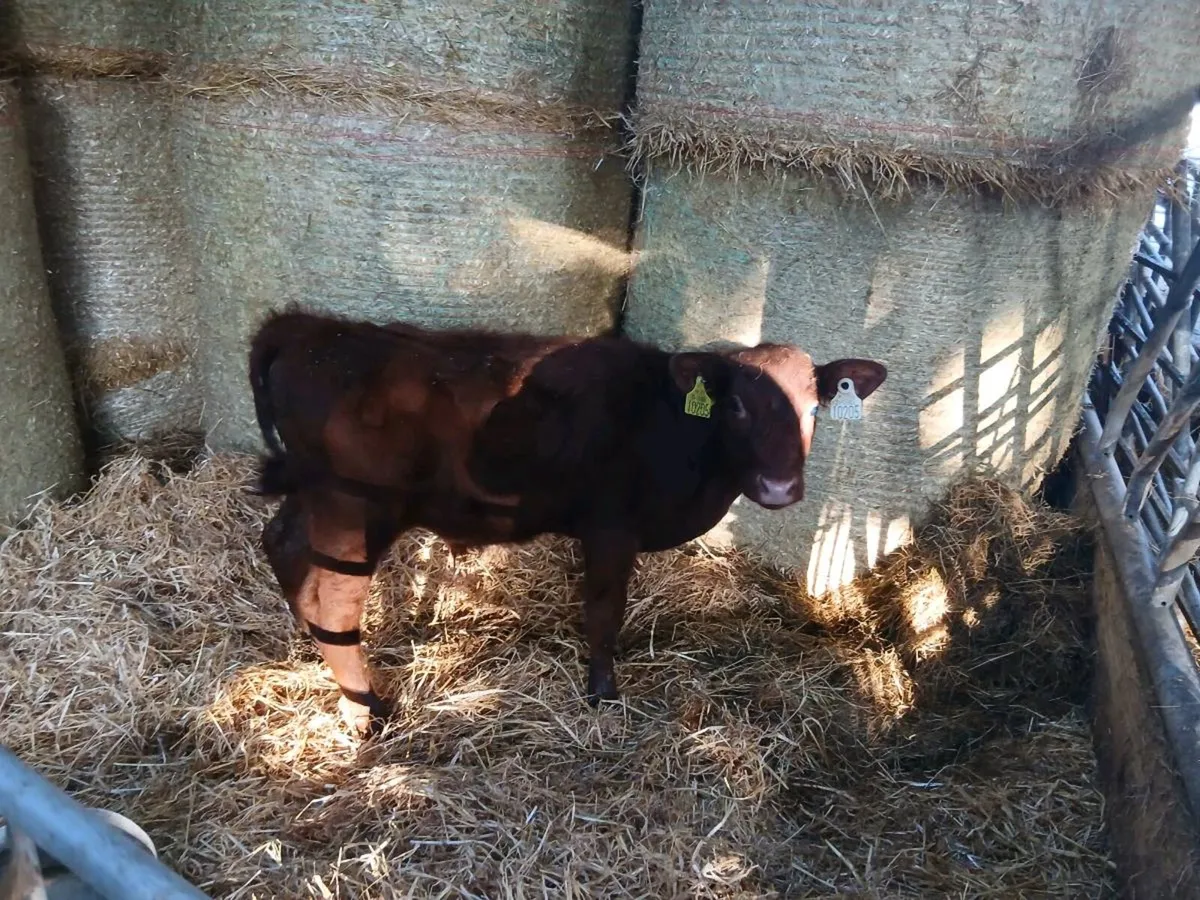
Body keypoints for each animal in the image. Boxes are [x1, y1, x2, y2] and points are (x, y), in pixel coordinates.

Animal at [248, 306, 887, 737]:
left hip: (316, 497)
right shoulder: (610, 528)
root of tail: (310, 329)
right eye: (735, 405)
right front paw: (603, 693)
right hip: (353, 511)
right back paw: (366, 710)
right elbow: (603, 613)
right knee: (334, 601)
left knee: (283, 545)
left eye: (814, 407)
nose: (780, 488)